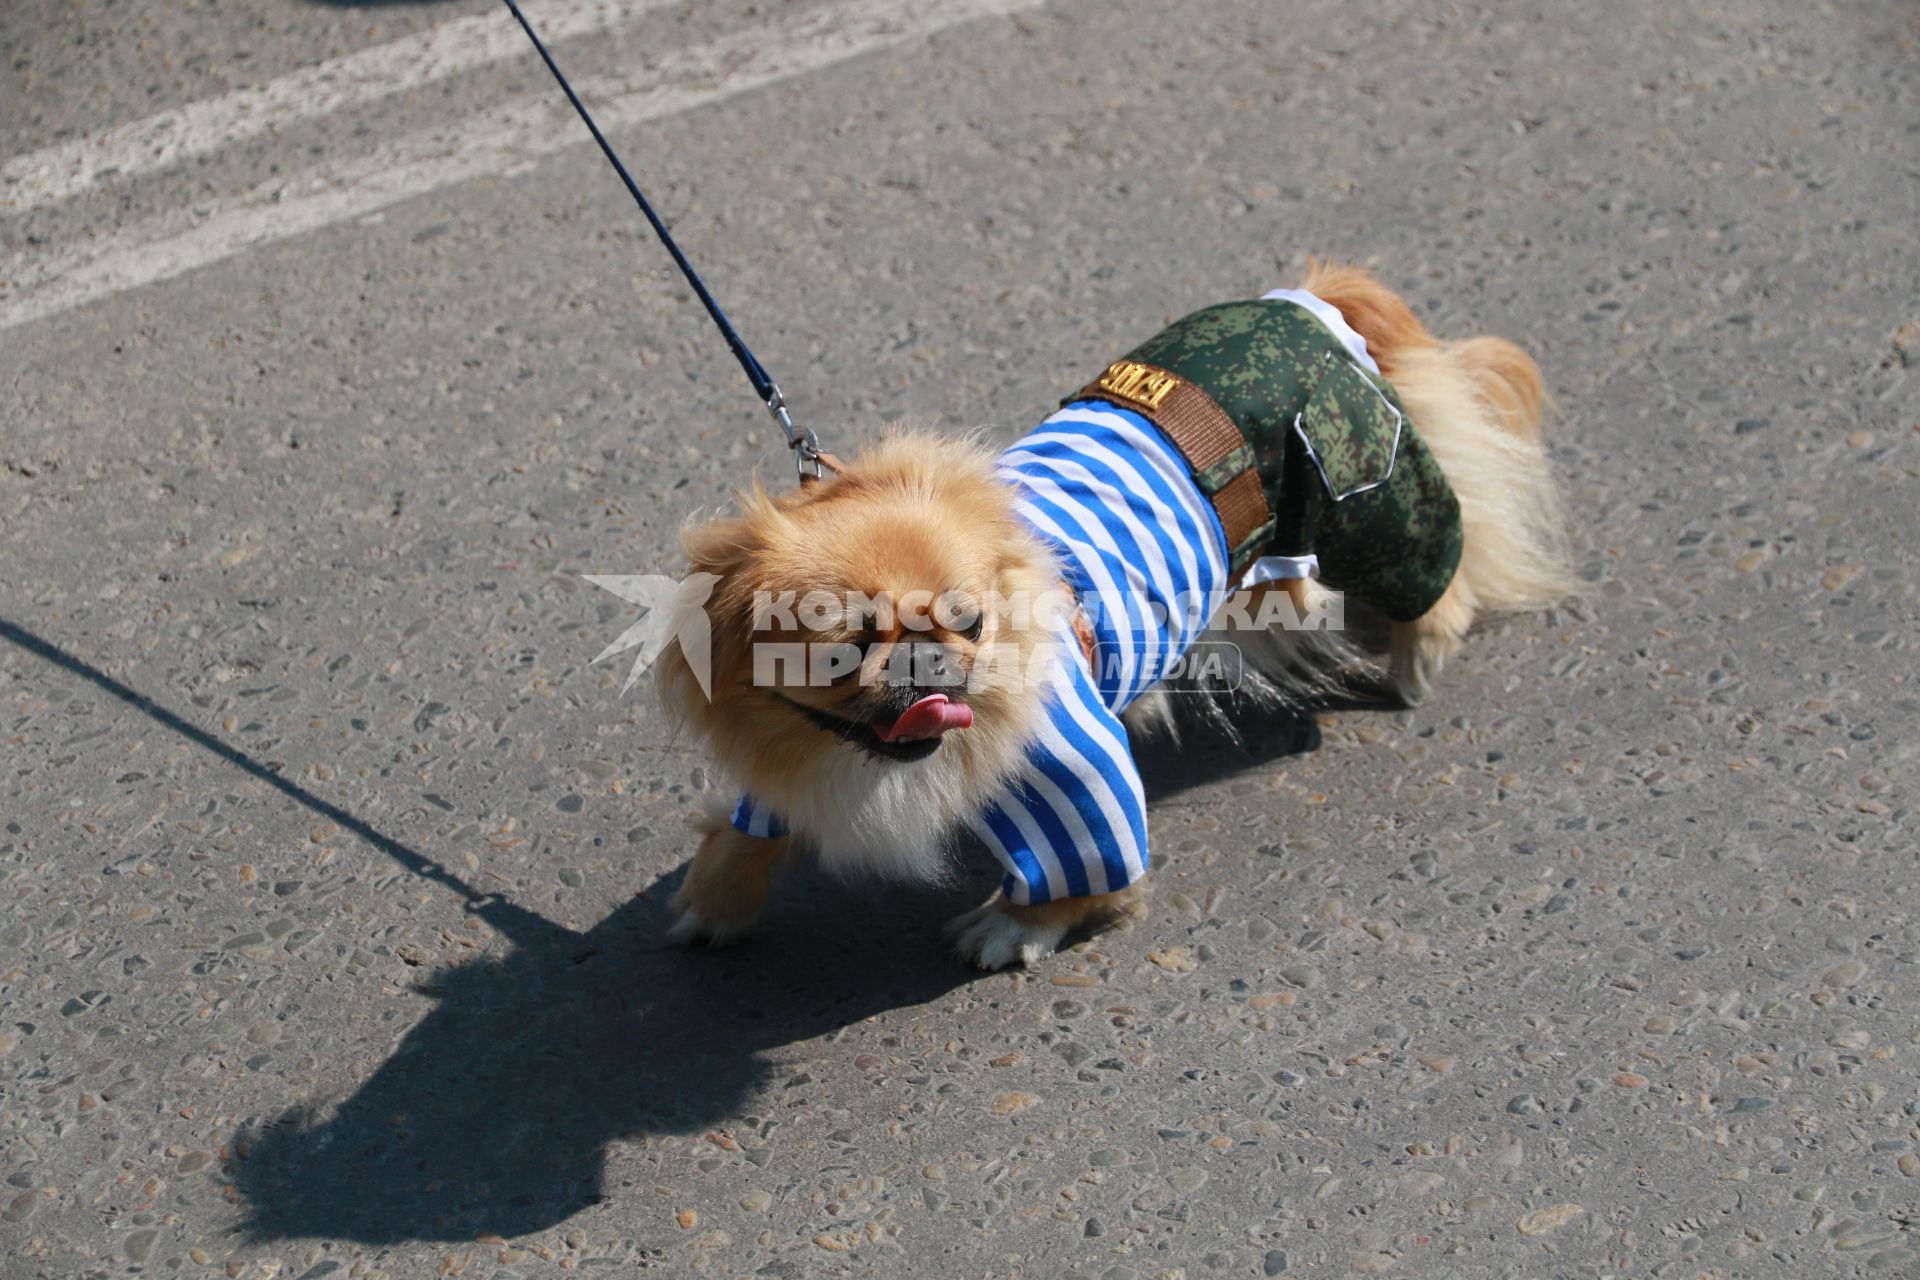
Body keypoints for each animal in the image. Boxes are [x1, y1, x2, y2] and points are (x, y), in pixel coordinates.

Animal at [652, 264, 1566, 967]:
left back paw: (1418, 660)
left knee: (1443, 563)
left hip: (1368, 506)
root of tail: (1305, 302)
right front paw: (714, 897)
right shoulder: (788, 763)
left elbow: (1084, 868)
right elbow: (750, 830)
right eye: (843, 653)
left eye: (969, 625)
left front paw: (1012, 928)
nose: (926, 663)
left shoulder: (1072, 769)